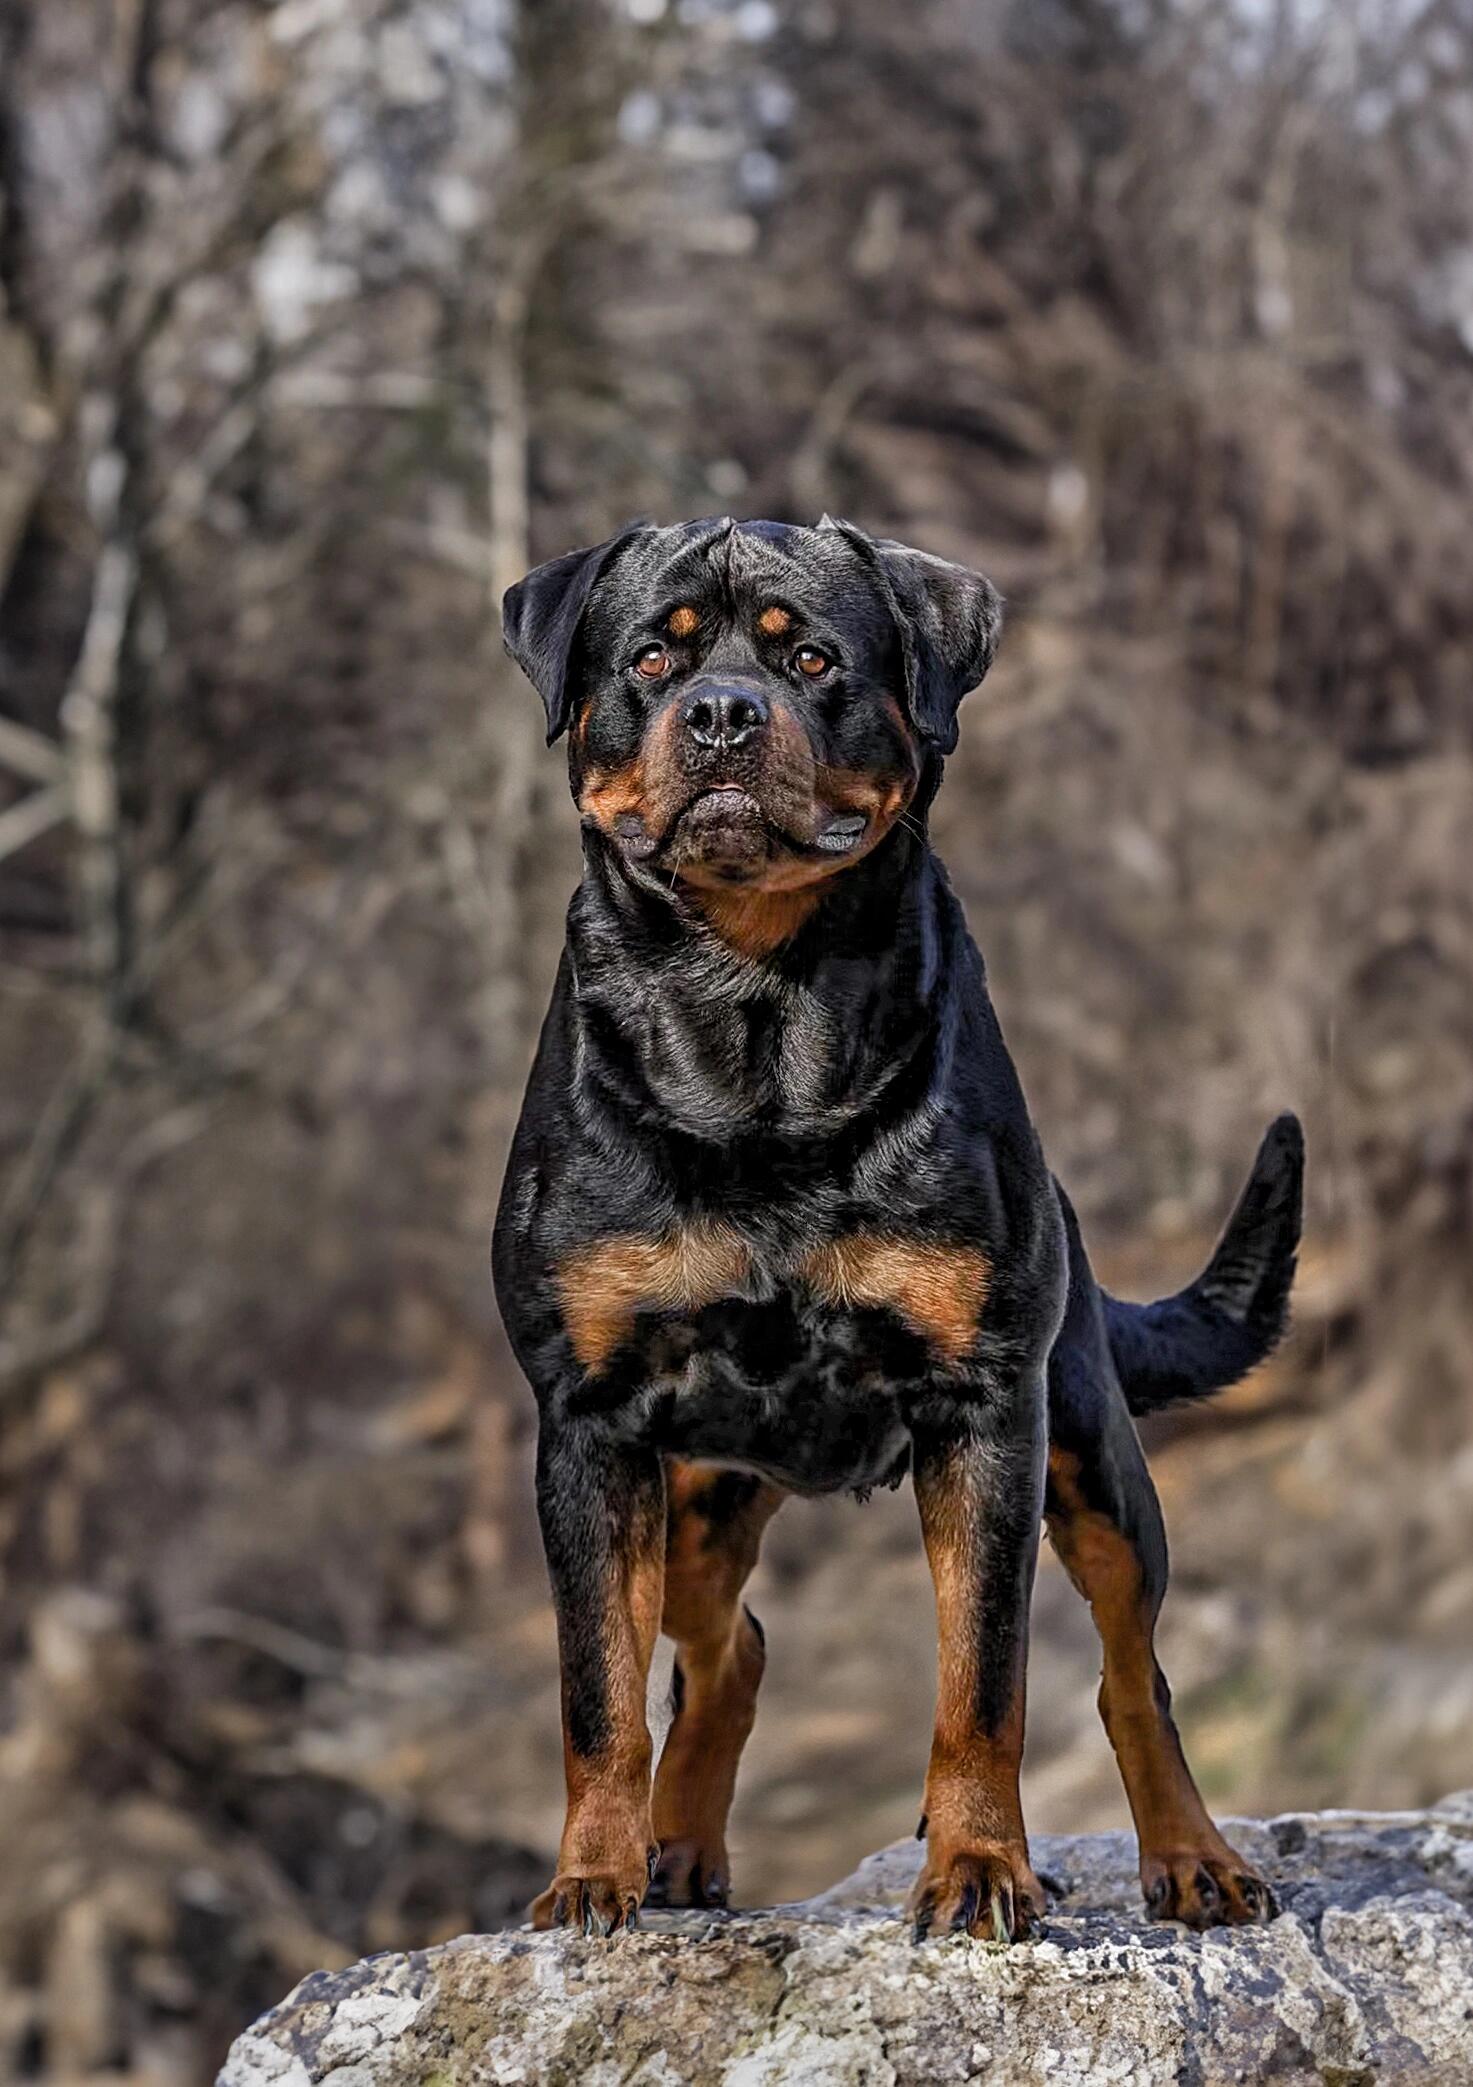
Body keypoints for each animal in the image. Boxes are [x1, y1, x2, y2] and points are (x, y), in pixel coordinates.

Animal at [490, 513, 1293, 1945]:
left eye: (811, 657)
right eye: (653, 655)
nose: (723, 711)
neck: (754, 1007)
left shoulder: (987, 1408)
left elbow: (986, 1678)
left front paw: (977, 1865)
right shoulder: (586, 1422)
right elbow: (596, 1688)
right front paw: (592, 1876)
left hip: (1091, 1450)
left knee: (1131, 1670)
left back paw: (1195, 1857)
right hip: (694, 1491)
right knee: (724, 1644)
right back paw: (673, 1848)